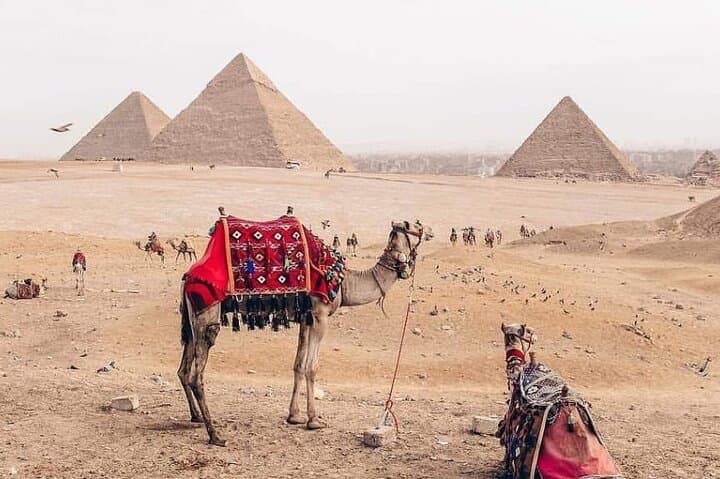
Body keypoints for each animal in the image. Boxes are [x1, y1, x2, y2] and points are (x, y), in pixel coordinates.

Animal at [177, 220, 424, 446]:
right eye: (416, 226)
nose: (428, 230)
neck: (343, 283)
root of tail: (188, 277)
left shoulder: (306, 318)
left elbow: (298, 364)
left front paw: (294, 416)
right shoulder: (320, 315)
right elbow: (311, 367)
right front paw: (314, 420)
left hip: (190, 321)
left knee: (183, 369)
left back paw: (196, 417)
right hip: (207, 316)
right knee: (197, 374)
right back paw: (215, 435)